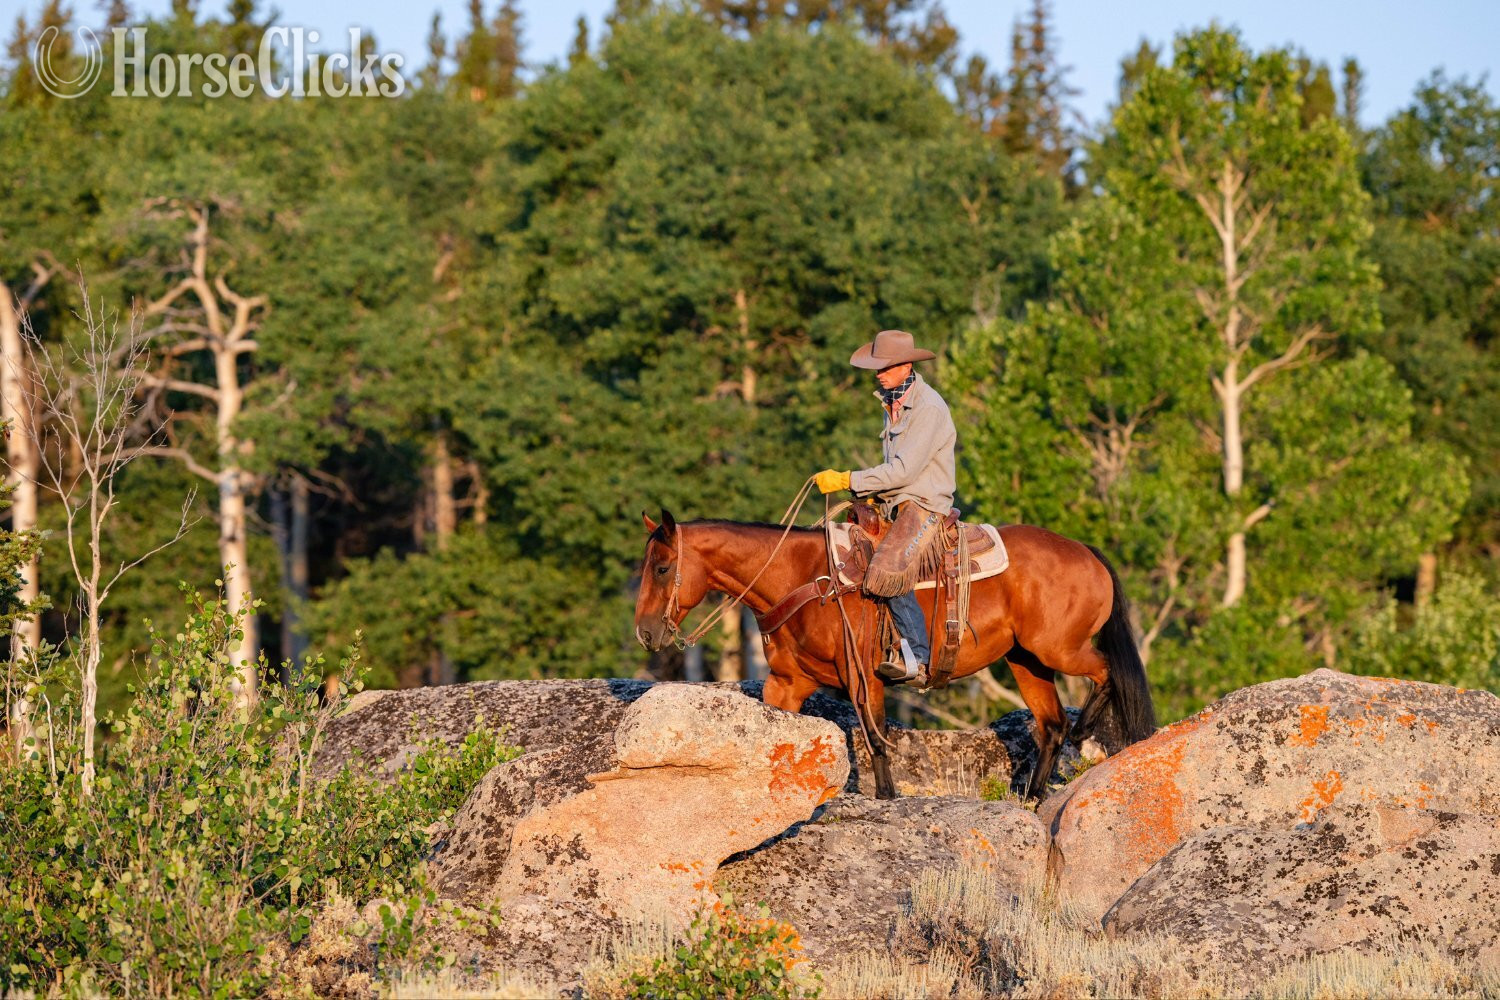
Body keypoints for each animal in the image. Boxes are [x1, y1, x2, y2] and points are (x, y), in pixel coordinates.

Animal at [632, 507, 1157, 801]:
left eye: (662, 568)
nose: (645, 633)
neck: (805, 579)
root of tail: (1087, 551)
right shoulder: (785, 684)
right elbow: (779, 739)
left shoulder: (864, 676)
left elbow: (876, 738)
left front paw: (885, 797)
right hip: (1026, 661)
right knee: (1050, 726)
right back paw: (1031, 794)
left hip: (1058, 649)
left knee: (1105, 674)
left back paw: (1085, 731)